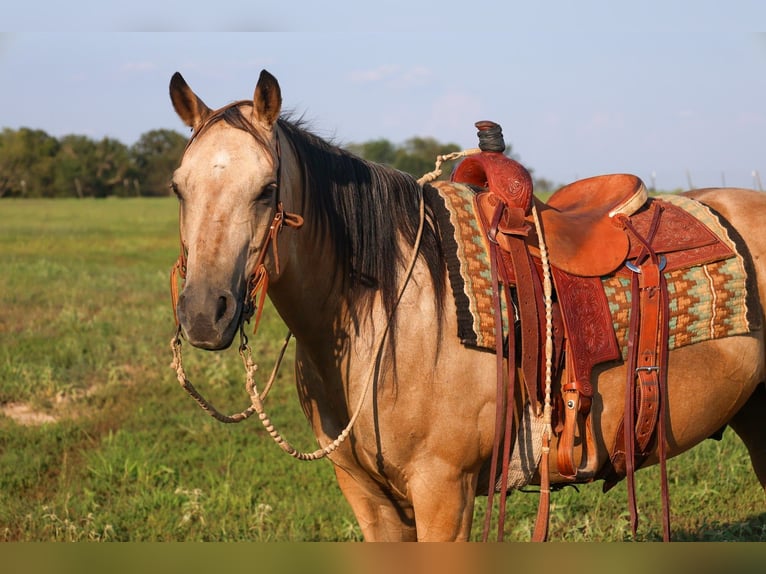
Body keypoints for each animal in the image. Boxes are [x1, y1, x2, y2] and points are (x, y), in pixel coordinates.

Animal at [167, 69, 766, 541]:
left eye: (268, 188)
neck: (392, 314)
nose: (203, 314)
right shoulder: (369, 498)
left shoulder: (443, 491)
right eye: (178, 188)